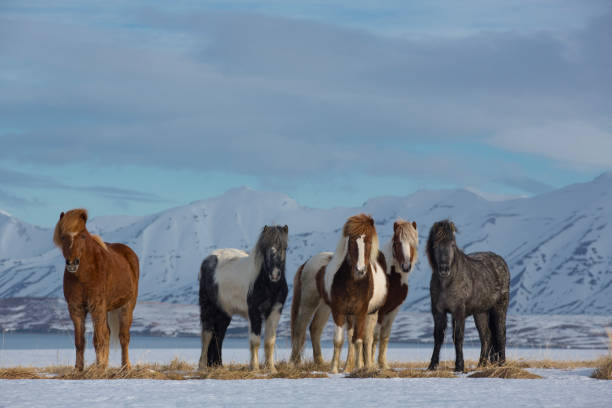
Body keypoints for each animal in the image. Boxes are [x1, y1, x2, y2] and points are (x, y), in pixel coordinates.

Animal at [53, 209, 140, 372]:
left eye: (82, 235)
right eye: (63, 236)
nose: (72, 263)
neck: (85, 275)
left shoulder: (96, 306)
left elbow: (98, 339)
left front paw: (99, 368)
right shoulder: (76, 309)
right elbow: (80, 341)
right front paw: (79, 368)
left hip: (127, 306)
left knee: (123, 337)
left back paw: (125, 367)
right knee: (108, 333)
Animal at [198, 225, 290, 372]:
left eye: (285, 247)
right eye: (265, 248)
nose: (275, 275)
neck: (267, 284)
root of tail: (208, 259)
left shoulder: (275, 310)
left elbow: (270, 341)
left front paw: (271, 369)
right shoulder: (254, 312)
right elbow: (255, 340)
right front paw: (255, 368)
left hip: (224, 312)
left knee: (219, 335)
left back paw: (217, 365)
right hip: (208, 307)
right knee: (207, 335)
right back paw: (202, 367)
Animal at [292, 214, 388, 372]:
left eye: (368, 241)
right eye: (352, 241)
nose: (360, 270)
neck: (354, 283)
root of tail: (306, 263)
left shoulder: (360, 312)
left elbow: (358, 340)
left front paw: (357, 368)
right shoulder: (338, 310)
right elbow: (338, 340)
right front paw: (334, 369)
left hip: (334, 309)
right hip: (309, 303)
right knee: (301, 328)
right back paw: (296, 362)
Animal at [428, 220, 510, 372]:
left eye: (452, 244)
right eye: (435, 245)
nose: (444, 269)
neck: (447, 283)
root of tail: (501, 261)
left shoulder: (458, 311)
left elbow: (458, 336)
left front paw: (459, 366)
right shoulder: (438, 311)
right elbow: (438, 336)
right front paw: (432, 365)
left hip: (499, 308)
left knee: (500, 334)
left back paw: (502, 363)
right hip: (481, 312)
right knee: (486, 336)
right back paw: (481, 364)